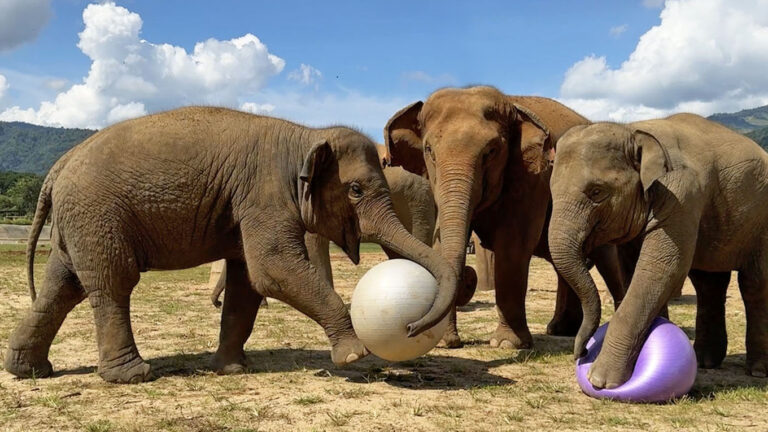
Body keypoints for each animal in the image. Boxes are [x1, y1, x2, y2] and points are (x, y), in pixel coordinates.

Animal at [4, 107, 457, 383]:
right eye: (357, 190)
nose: (411, 326)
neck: (306, 135)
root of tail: (57, 167)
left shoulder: (247, 206)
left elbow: (248, 282)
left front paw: (232, 370)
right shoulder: (264, 195)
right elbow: (272, 269)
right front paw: (353, 356)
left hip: (81, 221)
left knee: (62, 285)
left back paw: (27, 370)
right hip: (98, 215)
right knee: (112, 283)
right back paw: (133, 376)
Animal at [384, 86, 627, 348]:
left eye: (490, 152)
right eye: (429, 151)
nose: (410, 328)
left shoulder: (532, 177)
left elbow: (513, 245)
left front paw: (507, 344)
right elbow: (439, 245)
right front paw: (444, 341)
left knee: (606, 259)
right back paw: (561, 330)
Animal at [548, 113, 768, 389]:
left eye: (596, 192)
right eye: (551, 190)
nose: (582, 353)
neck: (633, 131)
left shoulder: (680, 195)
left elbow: (661, 268)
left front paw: (601, 381)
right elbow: (633, 271)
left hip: (761, 224)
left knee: (754, 285)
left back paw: (758, 371)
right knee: (708, 283)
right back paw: (705, 362)